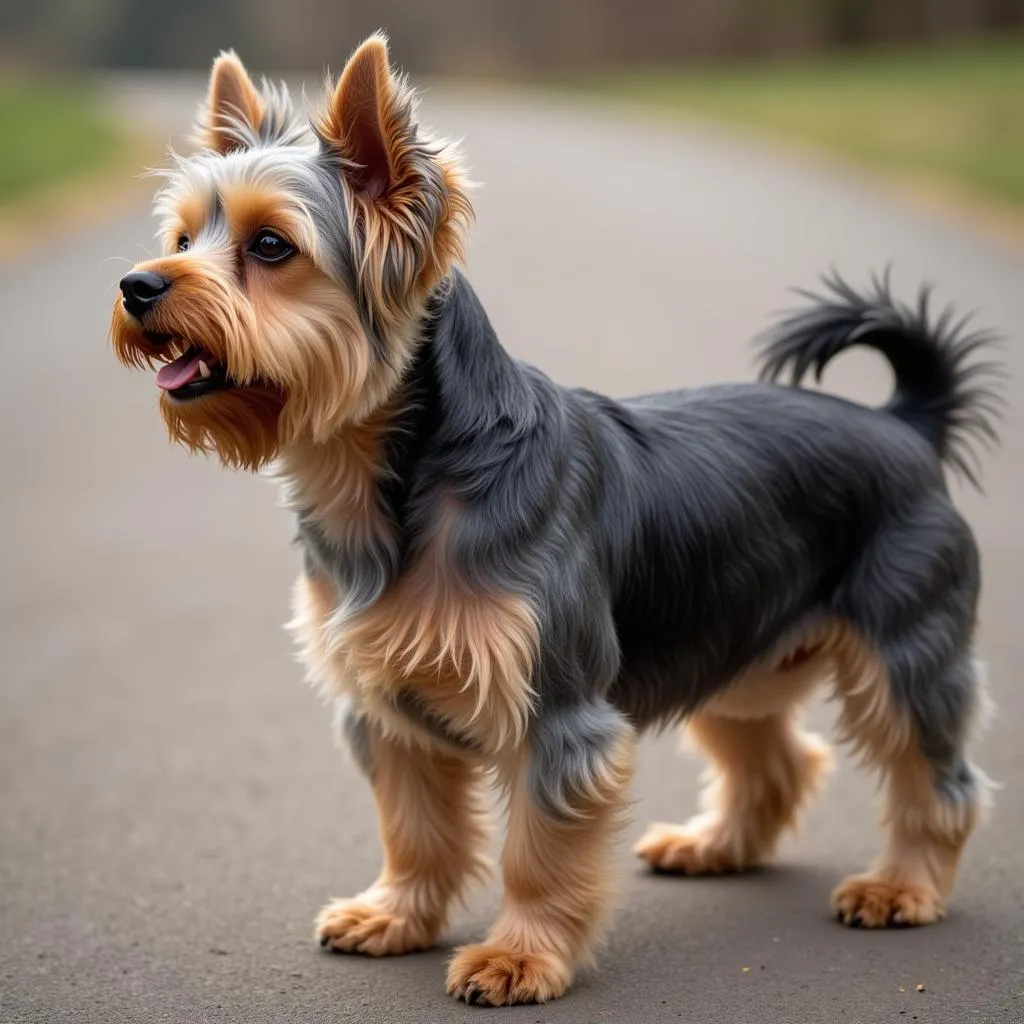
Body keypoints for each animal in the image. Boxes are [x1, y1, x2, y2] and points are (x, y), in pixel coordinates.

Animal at [110, 34, 999, 1007]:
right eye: (182, 238)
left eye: (271, 245)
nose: (137, 284)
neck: (391, 482)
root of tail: (904, 423)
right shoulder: (387, 712)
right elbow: (413, 828)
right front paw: (396, 916)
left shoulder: (559, 715)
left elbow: (536, 853)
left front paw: (518, 958)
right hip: (731, 643)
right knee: (778, 759)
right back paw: (715, 846)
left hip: (903, 653)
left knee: (938, 778)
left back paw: (900, 887)